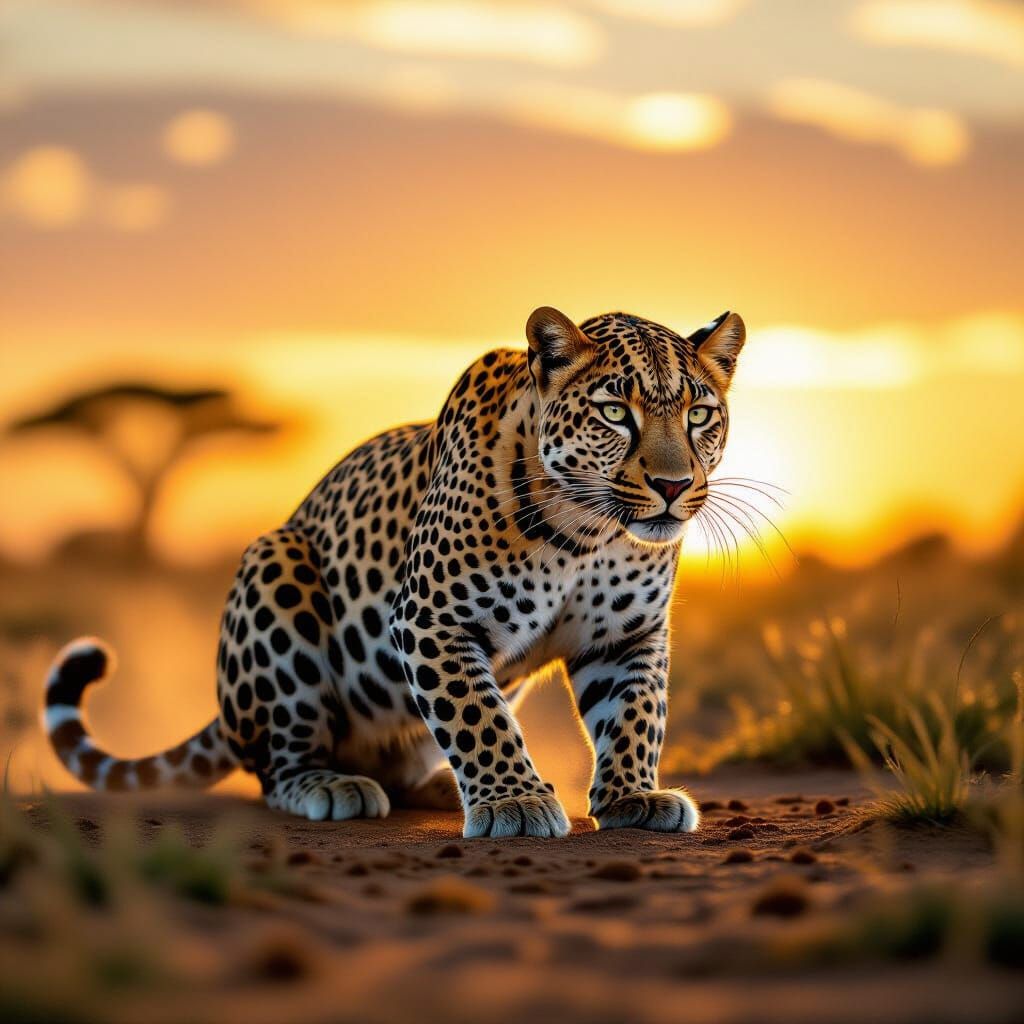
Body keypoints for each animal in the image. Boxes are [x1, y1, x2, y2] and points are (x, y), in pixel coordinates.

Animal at [44, 306, 746, 838]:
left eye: (699, 415)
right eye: (615, 413)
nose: (673, 485)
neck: (587, 534)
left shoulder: (629, 637)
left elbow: (635, 714)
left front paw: (632, 796)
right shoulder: (435, 616)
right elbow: (476, 715)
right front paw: (513, 802)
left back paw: (439, 785)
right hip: (274, 568)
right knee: (277, 762)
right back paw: (330, 785)